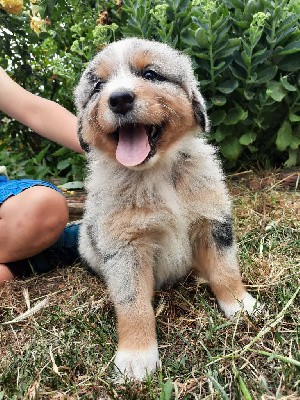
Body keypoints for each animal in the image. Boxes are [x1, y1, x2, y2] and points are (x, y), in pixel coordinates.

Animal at [74, 39, 258, 380]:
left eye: (150, 74)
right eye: (98, 86)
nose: (119, 99)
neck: (155, 172)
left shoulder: (212, 219)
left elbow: (225, 269)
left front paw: (239, 305)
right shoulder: (125, 245)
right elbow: (133, 304)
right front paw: (136, 356)